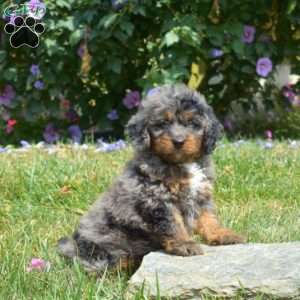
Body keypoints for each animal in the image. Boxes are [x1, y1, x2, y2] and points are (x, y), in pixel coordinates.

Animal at [57, 84, 245, 272]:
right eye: (162, 123)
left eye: (192, 123)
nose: (178, 141)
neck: (181, 163)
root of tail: (72, 246)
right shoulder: (157, 199)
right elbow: (173, 224)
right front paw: (185, 244)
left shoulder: (201, 195)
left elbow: (209, 218)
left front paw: (222, 234)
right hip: (108, 246)